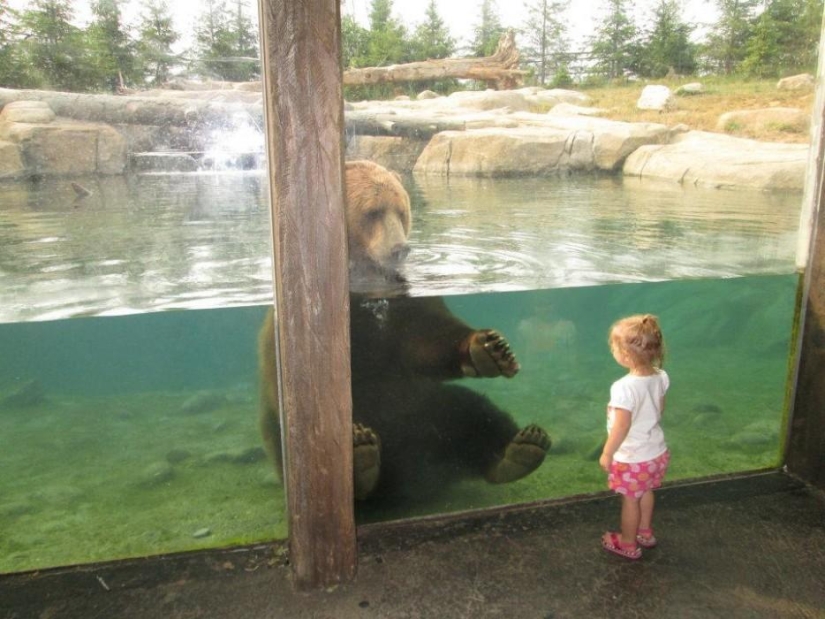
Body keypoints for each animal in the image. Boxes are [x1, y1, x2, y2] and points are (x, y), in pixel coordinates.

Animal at [260, 159, 552, 504]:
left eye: (401, 210)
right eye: (373, 211)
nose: (400, 249)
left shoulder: (406, 304)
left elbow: (425, 336)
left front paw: (489, 349)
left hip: (428, 406)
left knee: (471, 410)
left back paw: (519, 450)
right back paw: (360, 461)